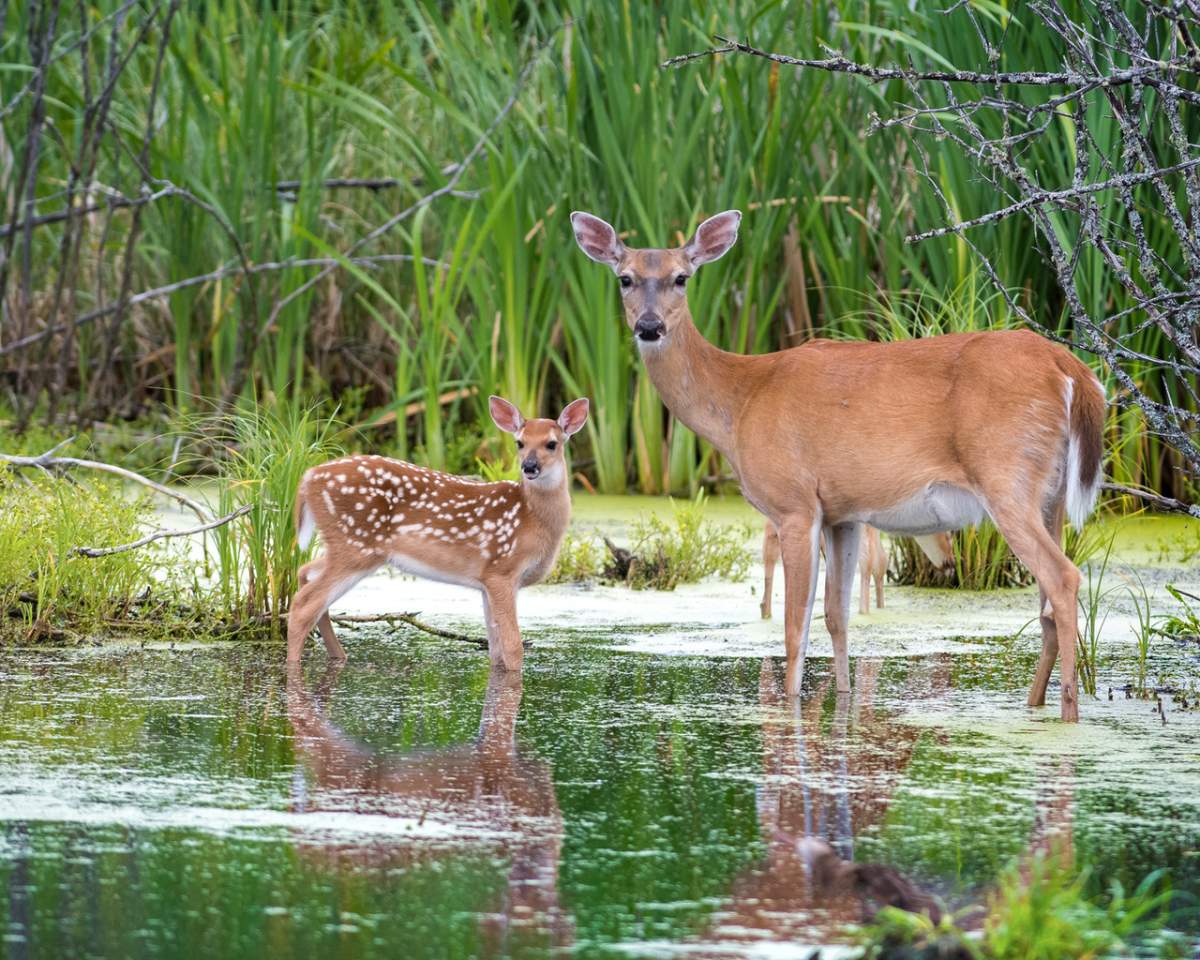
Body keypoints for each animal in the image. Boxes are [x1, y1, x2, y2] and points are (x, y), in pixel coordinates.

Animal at [286, 396, 590, 668]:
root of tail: (308, 478)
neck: (531, 518)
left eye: (552, 443)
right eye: (520, 442)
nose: (529, 467)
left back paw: (339, 655)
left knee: (305, 573)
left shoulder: (486, 581)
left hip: (342, 545)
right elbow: (514, 648)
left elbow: (496, 652)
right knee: (303, 605)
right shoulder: (502, 570)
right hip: (356, 545)